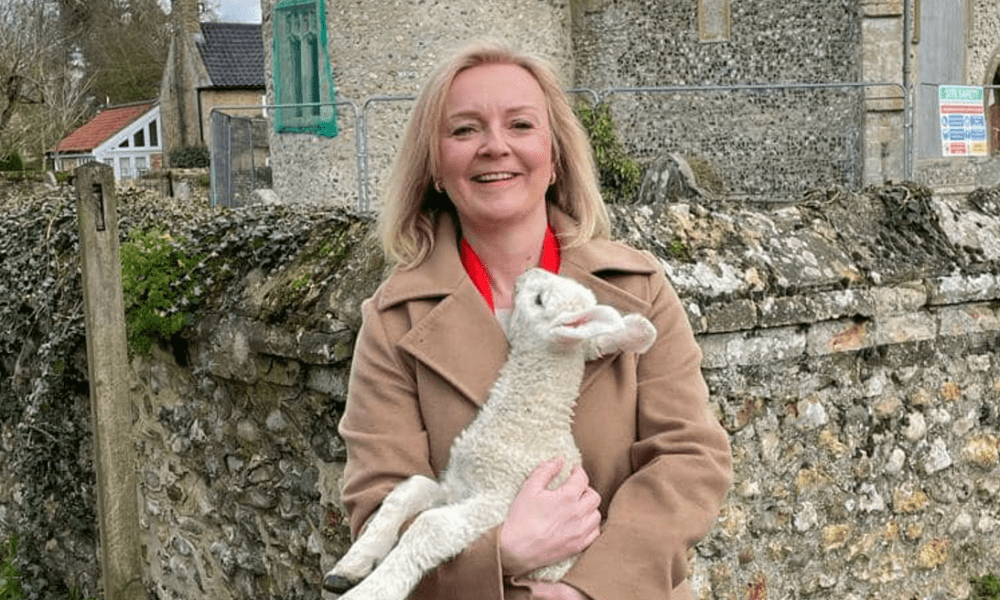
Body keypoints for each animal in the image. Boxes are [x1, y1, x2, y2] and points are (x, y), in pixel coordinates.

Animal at [324, 270, 660, 600]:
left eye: (540, 300)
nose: (525, 274)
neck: (529, 421)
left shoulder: (502, 499)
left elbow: (431, 526)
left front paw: (368, 592)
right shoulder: (460, 487)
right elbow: (410, 489)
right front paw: (350, 566)